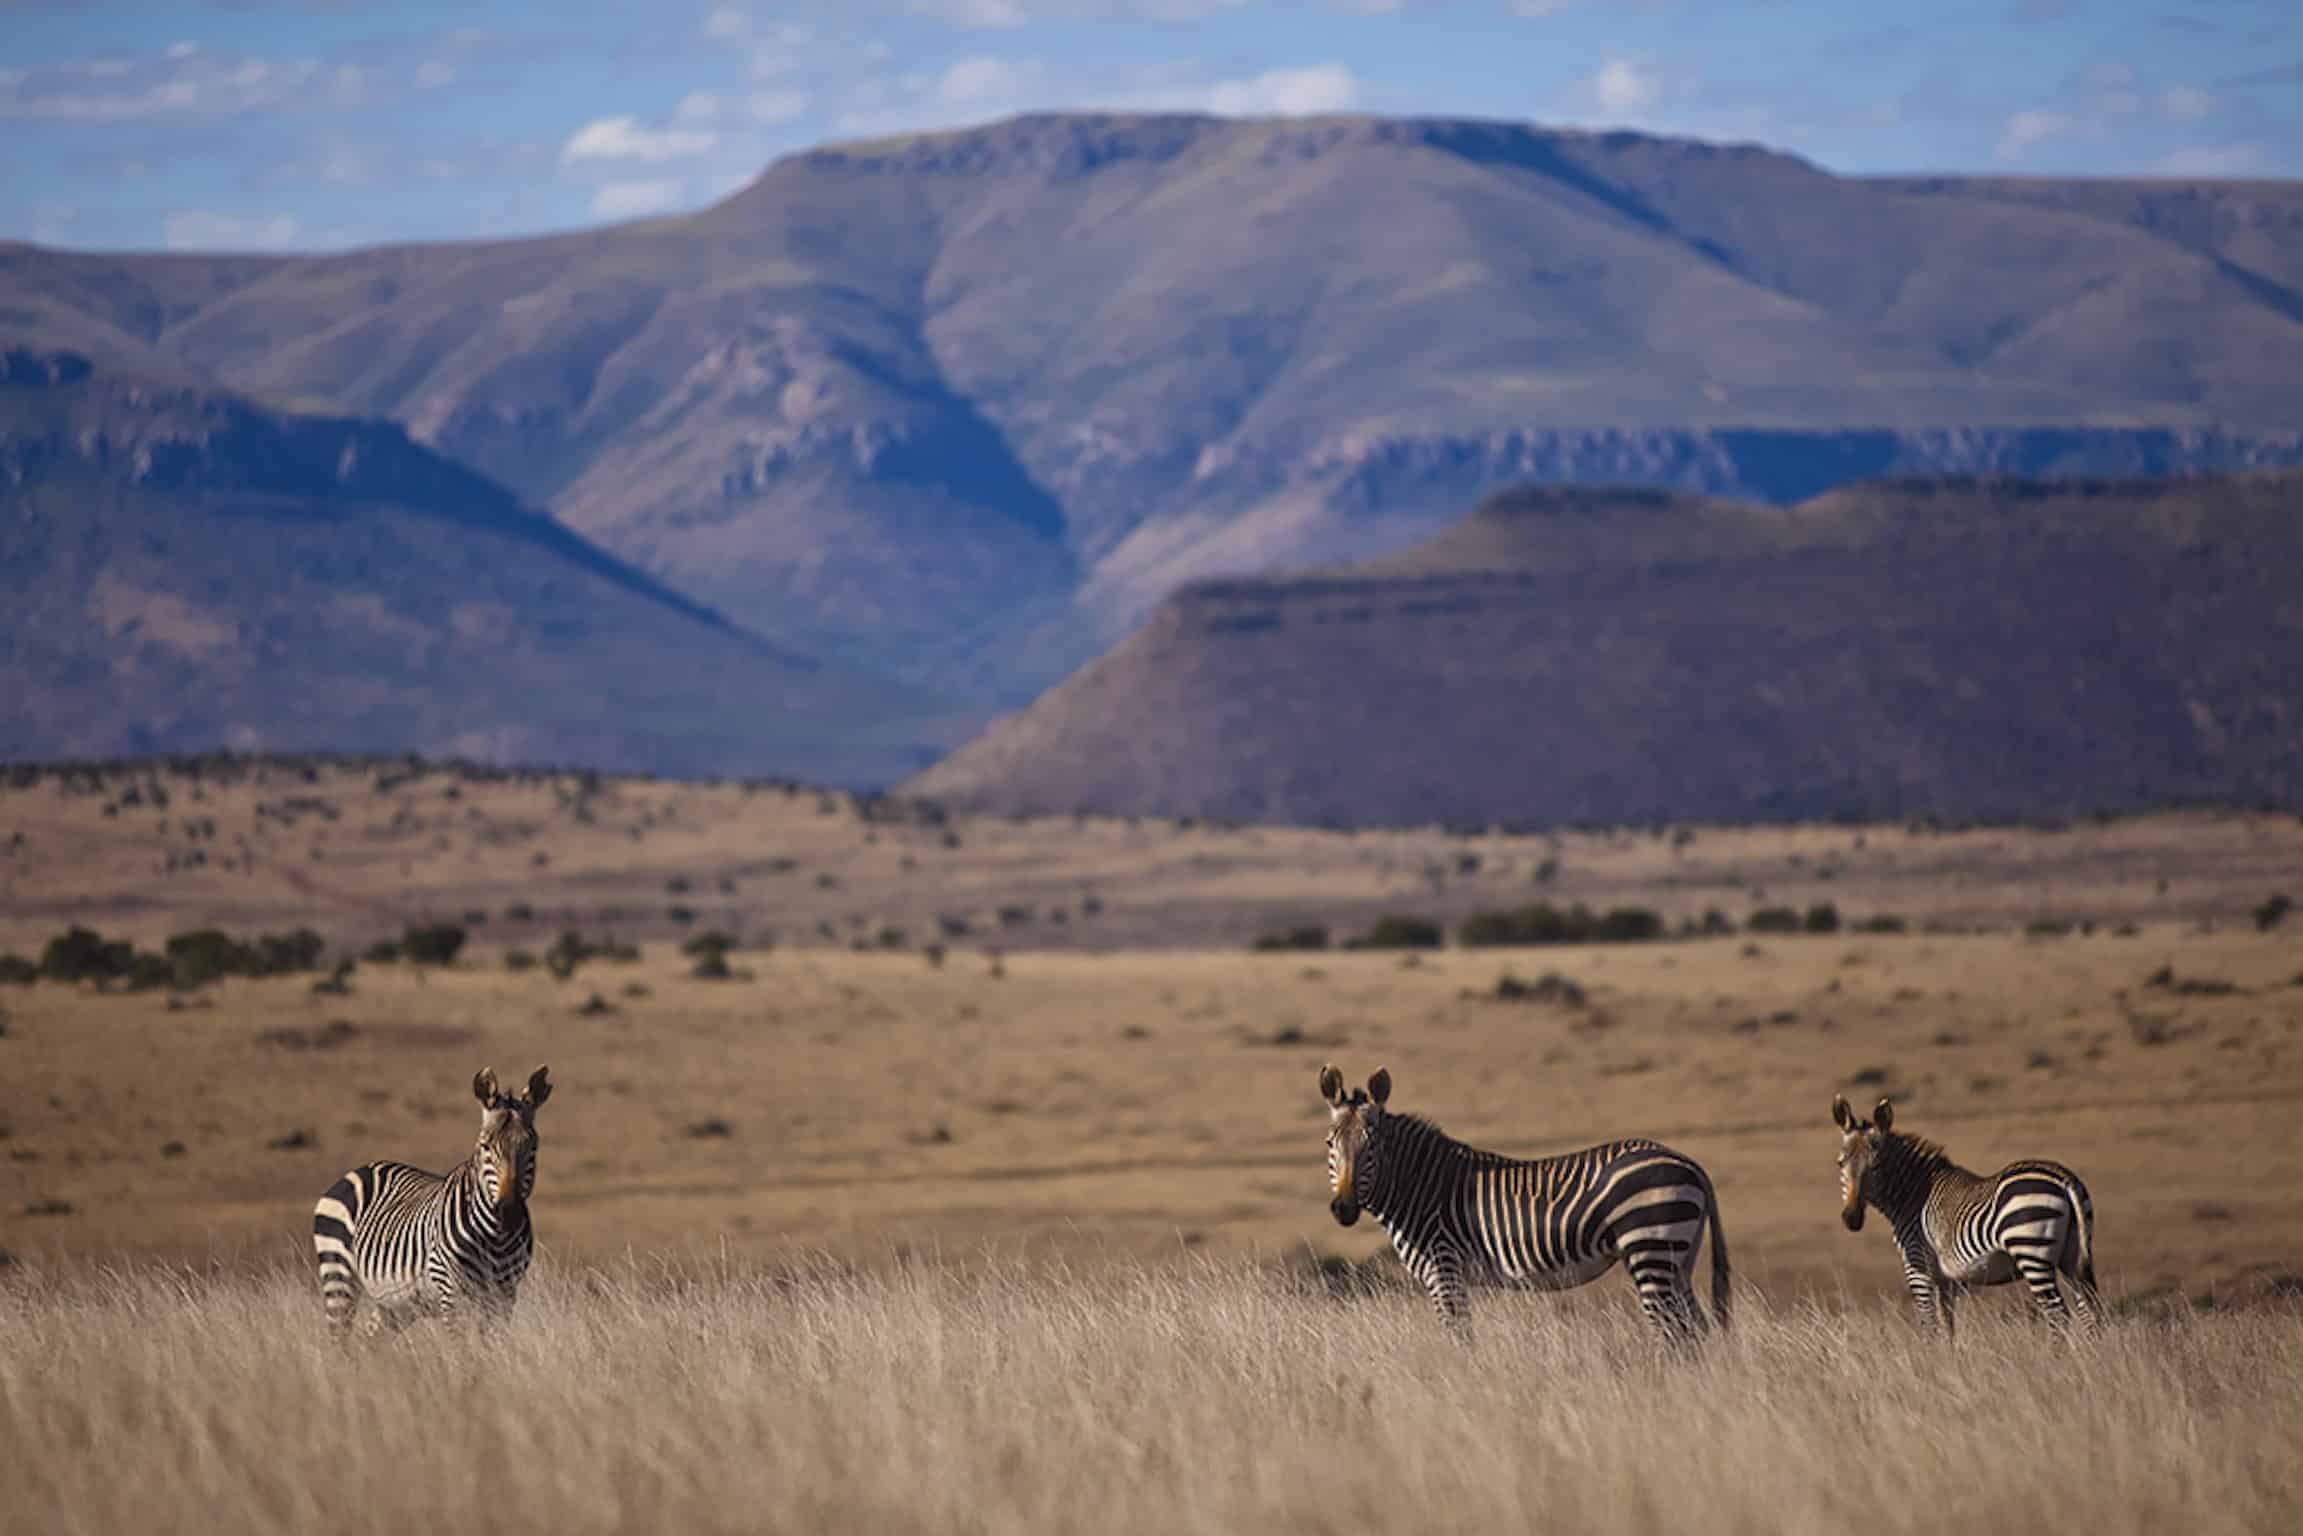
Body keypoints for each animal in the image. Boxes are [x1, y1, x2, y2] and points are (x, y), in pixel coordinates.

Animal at [312, 1065, 552, 1333]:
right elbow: (462, 1343)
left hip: (392, 1302)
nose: (509, 1212)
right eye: (485, 1146)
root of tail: (360, 1169)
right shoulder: (451, 1293)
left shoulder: (504, 1295)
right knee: (339, 1335)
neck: (495, 1239)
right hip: (338, 1275)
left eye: (533, 1147)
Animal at [1320, 1064, 1729, 1340]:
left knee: (1676, 1335)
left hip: (1650, 1248)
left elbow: (1459, 1338)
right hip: (1678, 1258)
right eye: (1330, 1144)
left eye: (1373, 1146)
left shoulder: (1443, 1268)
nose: (1343, 1209)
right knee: (1697, 1332)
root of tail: (1687, 1162)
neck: (1419, 1185)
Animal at [1832, 1094, 2101, 1336]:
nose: (1851, 1218)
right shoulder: (1945, 1281)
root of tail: (2064, 1178)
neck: (1913, 1196)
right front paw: (1950, 1360)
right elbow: (1948, 1327)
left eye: (1876, 1166)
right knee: (2089, 1314)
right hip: (2071, 1256)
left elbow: (1929, 1327)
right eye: (1840, 1163)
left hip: (2031, 1252)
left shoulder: (1918, 1268)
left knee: (2058, 1315)